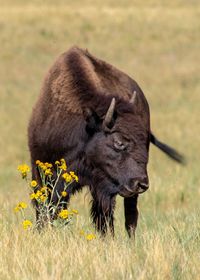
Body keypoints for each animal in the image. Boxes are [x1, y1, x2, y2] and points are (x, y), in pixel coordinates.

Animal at [27, 46, 183, 236]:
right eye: (119, 142)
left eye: (143, 142)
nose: (142, 184)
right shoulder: (41, 172)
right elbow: (45, 209)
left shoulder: (103, 188)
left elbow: (105, 214)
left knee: (129, 216)